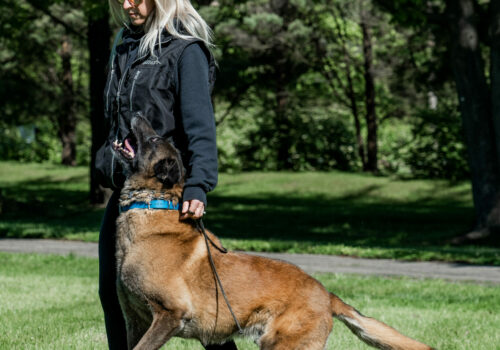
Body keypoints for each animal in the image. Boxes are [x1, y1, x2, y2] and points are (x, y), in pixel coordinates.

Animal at [113, 116, 434, 350]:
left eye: (154, 139)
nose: (137, 113)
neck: (152, 204)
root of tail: (327, 295)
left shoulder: (169, 316)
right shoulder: (135, 321)